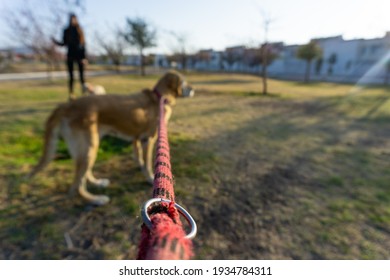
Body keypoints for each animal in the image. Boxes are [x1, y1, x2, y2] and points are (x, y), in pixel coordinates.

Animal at [29, 70, 195, 206]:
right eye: (184, 81)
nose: (193, 89)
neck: (159, 97)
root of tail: (65, 106)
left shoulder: (136, 138)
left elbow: (139, 158)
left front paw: (140, 167)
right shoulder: (149, 139)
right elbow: (148, 163)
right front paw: (150, 178)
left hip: (89, 147)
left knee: (84, 175)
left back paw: (98, 183)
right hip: (89, 147)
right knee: (76, 186)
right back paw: (96, 199)